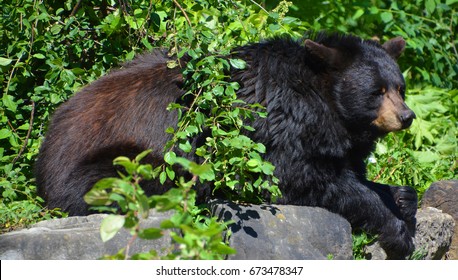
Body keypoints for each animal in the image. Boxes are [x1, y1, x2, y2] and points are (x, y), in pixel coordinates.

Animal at [35, 33, 416, 260]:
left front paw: (402, 197)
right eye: (377, 91)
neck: (320, 102)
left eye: (400, 87)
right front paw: (397, 231)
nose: (407, 116)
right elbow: (301, 177)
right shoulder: (273, 129)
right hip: (120, 161)